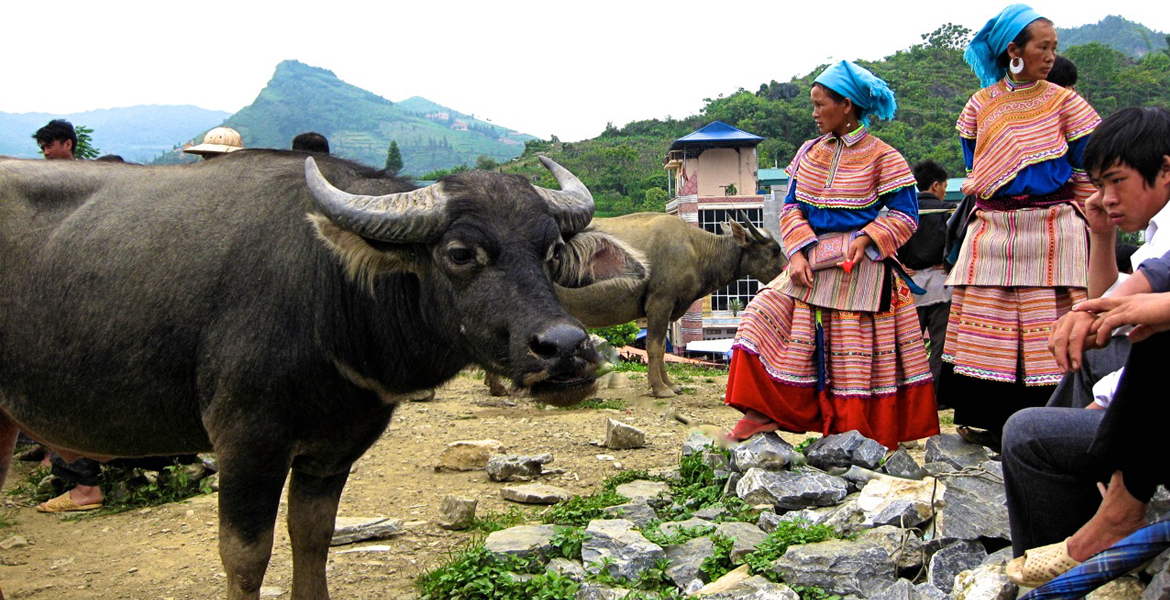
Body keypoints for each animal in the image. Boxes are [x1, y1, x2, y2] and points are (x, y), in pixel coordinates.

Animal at [0, 150, 627, 598]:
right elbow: (245, 558)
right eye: (458, 253)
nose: (566, 348)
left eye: (551, 250)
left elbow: (313, 539)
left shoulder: (333, 449)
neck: (328, 289)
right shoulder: (246, 444)